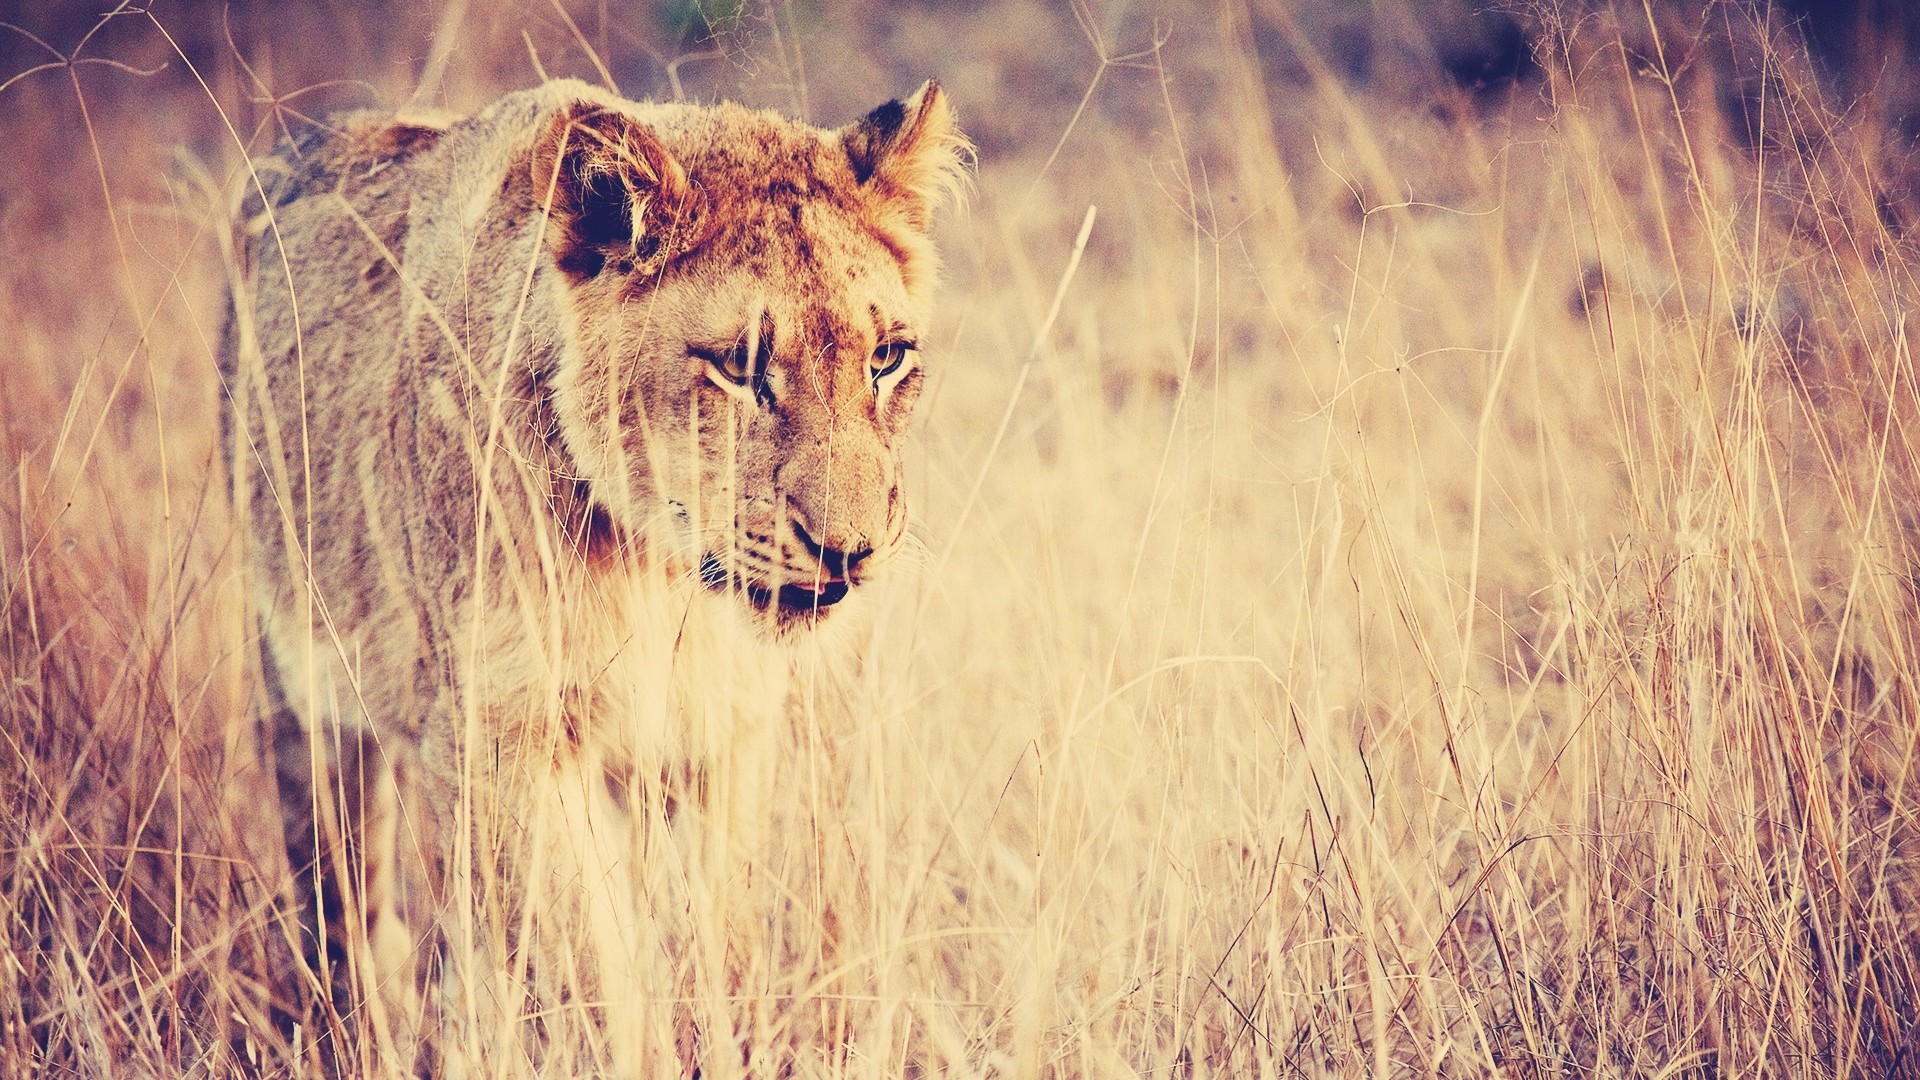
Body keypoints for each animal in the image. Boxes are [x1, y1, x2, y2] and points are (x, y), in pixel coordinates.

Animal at [220, 77, 967, 1070]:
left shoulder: (721, 733)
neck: (663, 573)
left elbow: (715, 943)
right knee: (345, 911)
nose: (849, 549)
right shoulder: (499, 731)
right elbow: (583, 968)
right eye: (740, 367)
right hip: (305, 697)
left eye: (886, 358)